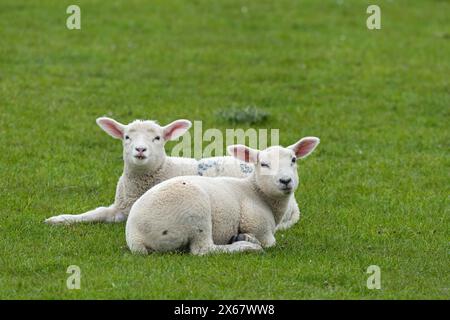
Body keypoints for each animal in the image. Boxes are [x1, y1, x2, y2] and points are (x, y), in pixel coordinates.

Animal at [44, 116, 302, 231]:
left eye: (158, 138)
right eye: (126, 137)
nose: (140, 150)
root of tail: (295, 206)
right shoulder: (118, 207)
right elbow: (93, 213)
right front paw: (60, 219)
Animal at [125, 138, 318, 255]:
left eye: (293, 160)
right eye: (264, 164)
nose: (285, 181)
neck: (257, 192)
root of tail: (135, 236)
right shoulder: (259, 227)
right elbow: (270, 243)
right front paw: (248, 240)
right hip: (196, 211)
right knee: (203, 249)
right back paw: (245, 246)